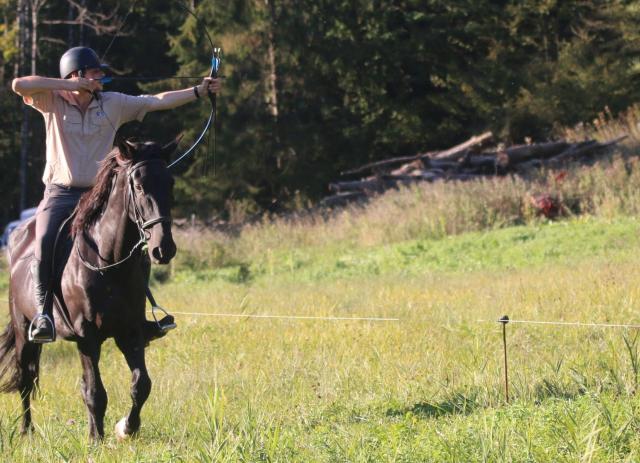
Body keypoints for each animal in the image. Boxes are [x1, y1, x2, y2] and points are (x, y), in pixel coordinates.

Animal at [0, 139, 178, 442]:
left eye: (170, 182)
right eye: (139, 186)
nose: (163, 248)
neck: (108, 264)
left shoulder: (130, 332)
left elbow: (141, 384)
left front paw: (126, 427)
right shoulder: (87, 336)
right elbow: (95, 392)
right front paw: (97, 439)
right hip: (24, 332)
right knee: (26, 379)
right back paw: (27, 431)